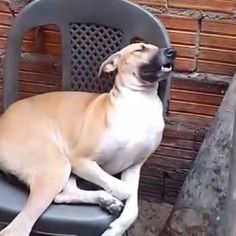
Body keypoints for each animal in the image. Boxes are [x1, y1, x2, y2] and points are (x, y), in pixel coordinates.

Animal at [0, 42, 175, 236]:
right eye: (140, 49)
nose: (172, 52)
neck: (139, 104)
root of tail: (3, 118)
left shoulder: (134, 166)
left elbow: (133, 209)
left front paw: (116, 229)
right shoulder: (80, 160)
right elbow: (124, 188)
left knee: (65, 194)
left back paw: (106, 200)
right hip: (57, 165)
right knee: (16, 228)